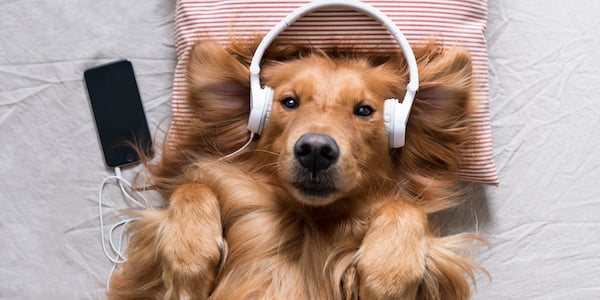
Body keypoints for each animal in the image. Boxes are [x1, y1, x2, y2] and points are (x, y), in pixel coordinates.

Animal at [105, 38, 486, 300]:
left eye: (364, 110)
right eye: (289, 102)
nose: (315, 150)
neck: (306, 224)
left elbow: (405, 207)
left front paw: (388, 275)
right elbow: (192, 186)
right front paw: (188, 260)